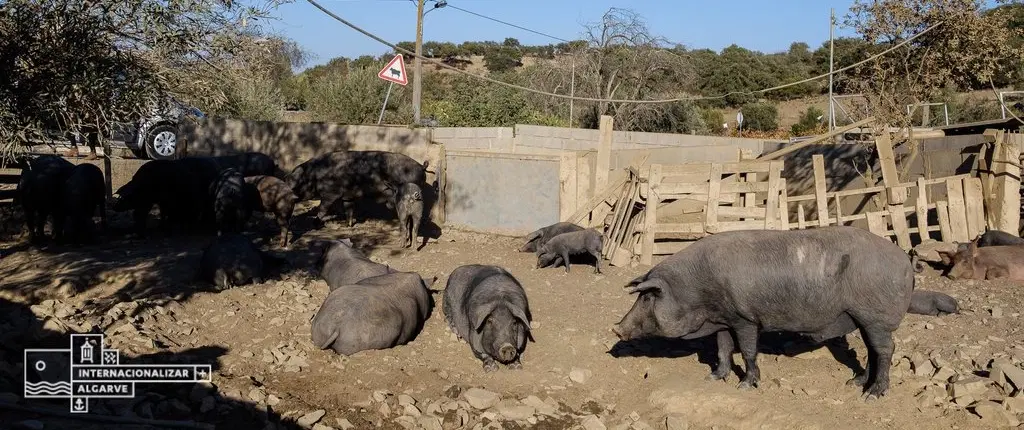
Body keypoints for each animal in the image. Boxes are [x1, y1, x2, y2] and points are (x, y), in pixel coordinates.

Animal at [612, 226, 914, 399]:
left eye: (648, 296)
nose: (616, 328)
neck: (697, 290)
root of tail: (905, 262)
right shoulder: (724, 320)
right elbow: (723, 348)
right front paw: (713, 377)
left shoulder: (745, 319)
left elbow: (747, 351)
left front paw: (745, 385)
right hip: (865, 320)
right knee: (873, 351)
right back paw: (855, 383)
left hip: (876, 317)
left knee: (885, 350)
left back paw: (873, 395)